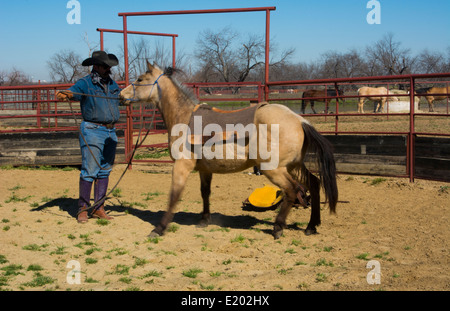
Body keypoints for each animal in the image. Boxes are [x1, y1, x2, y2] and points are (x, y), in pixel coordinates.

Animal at [119, 62, 338, 240]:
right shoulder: (205, 170)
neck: (184, 117)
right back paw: (311, 226)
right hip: (293, 165)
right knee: (314, 184)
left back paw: (278, 227)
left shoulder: (182, 166)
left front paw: (159, 228)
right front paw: (204, 220)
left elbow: (174, 196)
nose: (121, 96)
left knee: (292, 191)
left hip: (274, 169)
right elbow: (205, 193)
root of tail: (300, 121)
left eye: (140, 79)